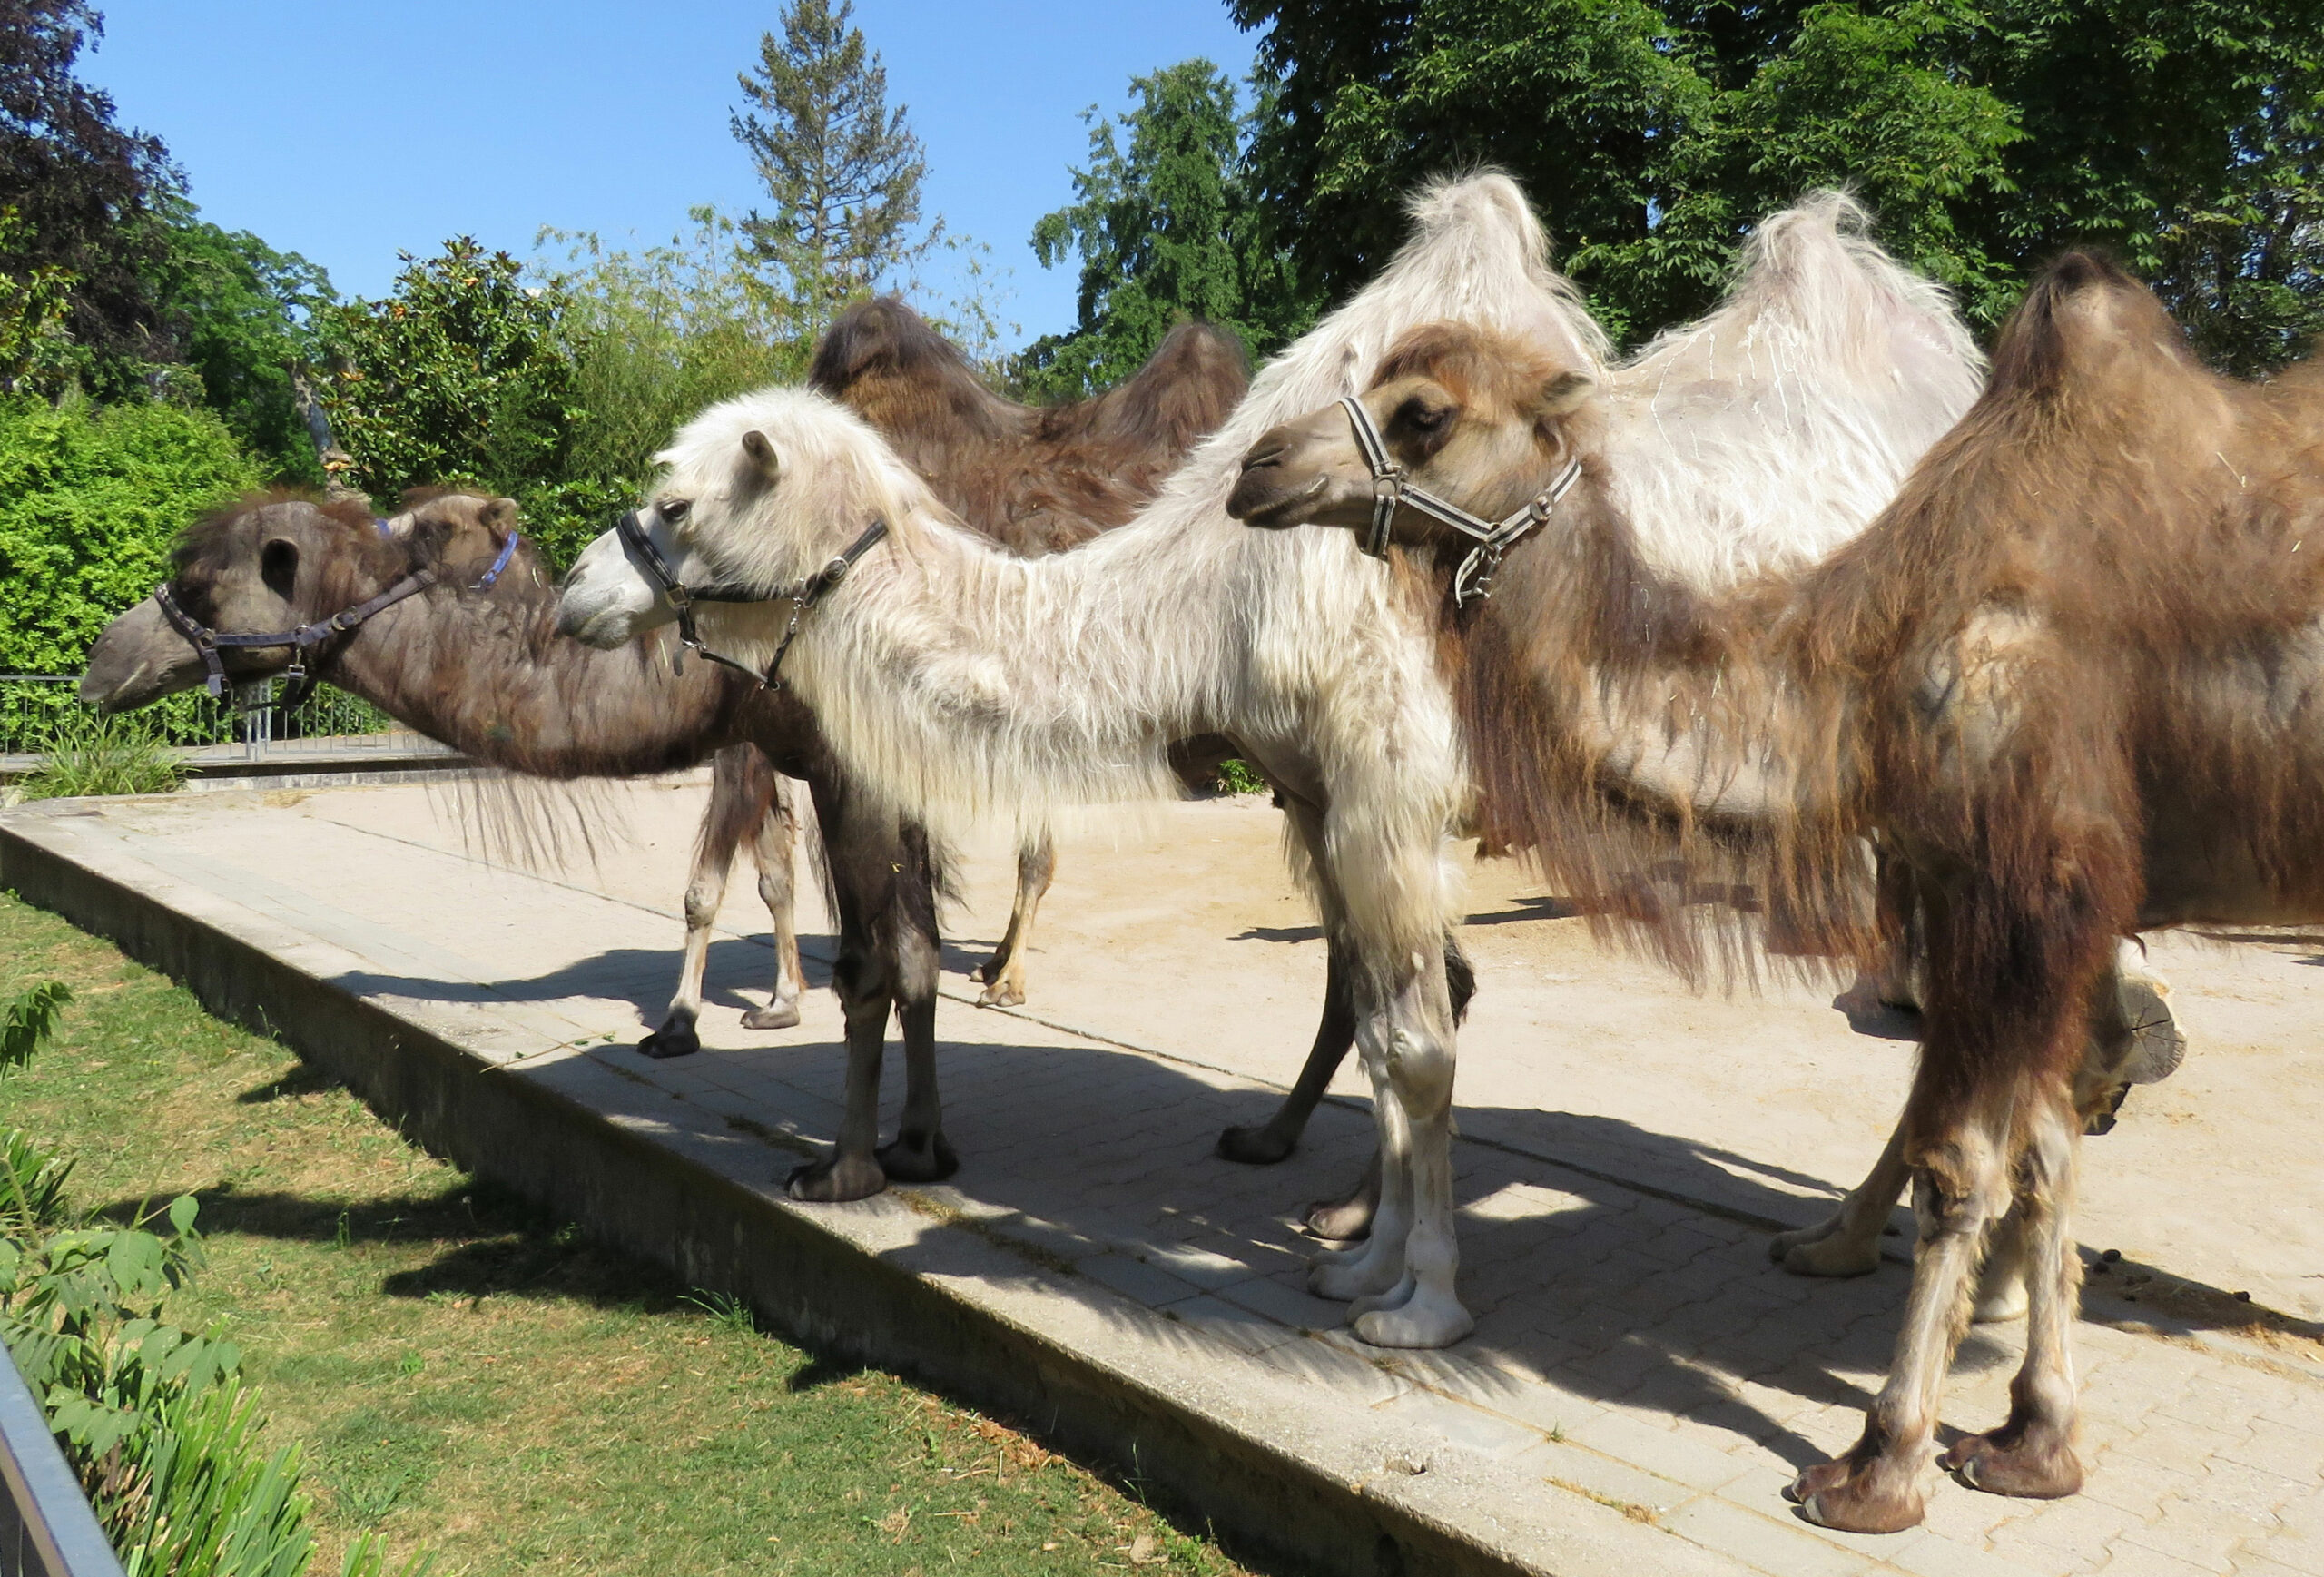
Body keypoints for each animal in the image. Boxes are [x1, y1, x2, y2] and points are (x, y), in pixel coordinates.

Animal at [557, 182, 1980, 1346]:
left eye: (677, 503)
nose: (574, 594)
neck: (1211, 594)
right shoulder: (1326, 790)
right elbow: (1399, 1027)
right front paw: (1360, 1256)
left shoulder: (1394, 785)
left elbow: (1417, 1041)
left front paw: (1423, 1302)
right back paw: (1846, 1243)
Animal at [1226, 264, 2314, 1533]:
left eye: (1423, 414)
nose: (1257, 467)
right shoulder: (2041, 904)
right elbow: (2044, 1151)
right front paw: (2033, 1442)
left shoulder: (2022, 883)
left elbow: (1965, 1161)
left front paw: (1880, 1464)